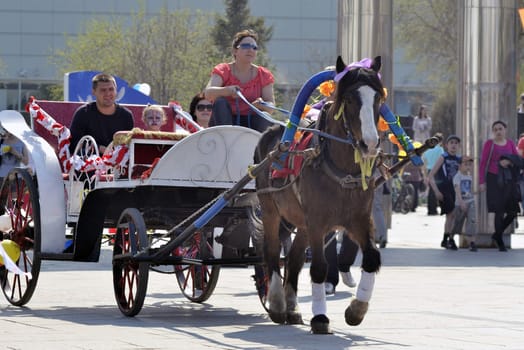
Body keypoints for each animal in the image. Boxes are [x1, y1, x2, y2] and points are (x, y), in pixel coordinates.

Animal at [253, 55, 384, 334]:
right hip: (271, 210)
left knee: (293, 259)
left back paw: (292, 308)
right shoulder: (317, 222)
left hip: (301, 222)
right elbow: (319, 268)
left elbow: (371, 258)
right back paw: (278, 303)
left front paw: (357, 309)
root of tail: (272, 132)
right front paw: (321, 317)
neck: (340, 170)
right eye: (349, 99)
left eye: (378, 97)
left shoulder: (358, 220)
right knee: (272, 252)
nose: (369, 143)